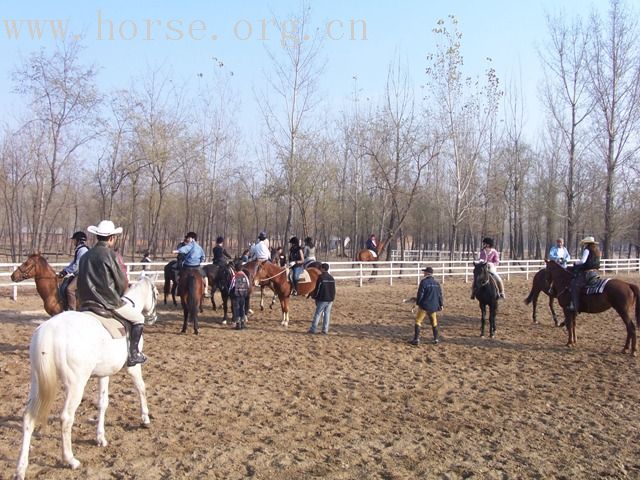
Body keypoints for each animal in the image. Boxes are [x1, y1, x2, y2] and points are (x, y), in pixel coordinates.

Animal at [14, 278, 159, 480]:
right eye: (157, 294)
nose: (153, 318)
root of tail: (49, 331)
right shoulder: (133, 367)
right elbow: (141, 388)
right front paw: (145, 419)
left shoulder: (104, 373)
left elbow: (103, 403)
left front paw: (100, 438)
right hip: (76, 385)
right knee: (66, 418)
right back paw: (70, 460)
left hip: (36, 383)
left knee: (28, 418)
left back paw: (21, 468)